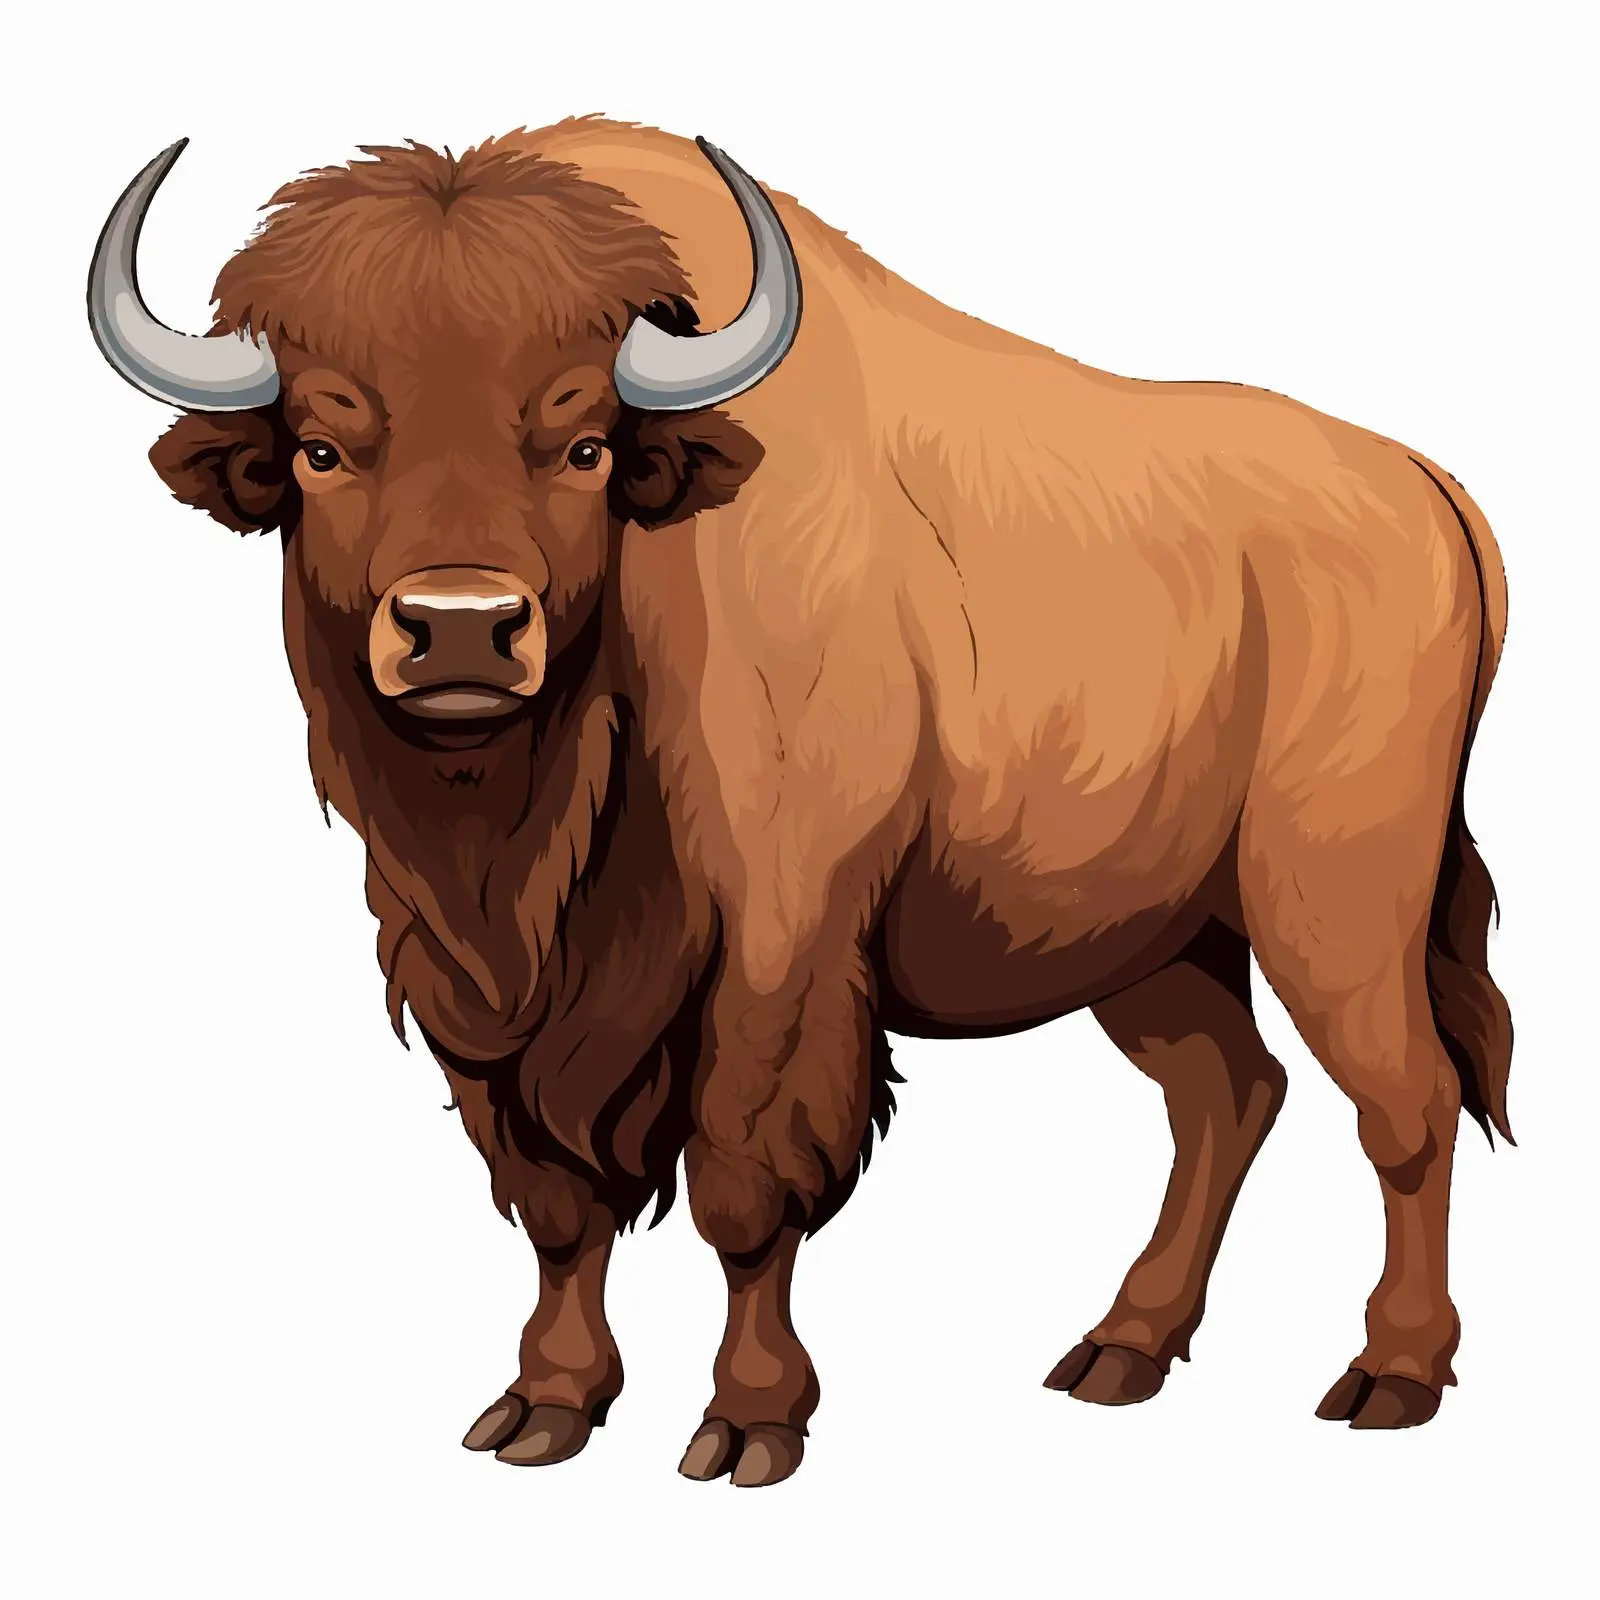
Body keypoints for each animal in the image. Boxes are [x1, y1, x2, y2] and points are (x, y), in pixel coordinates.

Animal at [89, 118, 1512, 1486]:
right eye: (322, 448)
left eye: (584, 444)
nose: (460, 630)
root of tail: (1420, 485)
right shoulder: (483, 991)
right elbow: (554, 1201)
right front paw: (544, 1406)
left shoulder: (784, 943)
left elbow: (744, 1181)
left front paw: (747, 1425)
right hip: (1153, 936)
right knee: (1229, 1091)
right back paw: (1121, 1349)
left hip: (1334, 900)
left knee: (1406, 1101)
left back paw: (1388, 1377)